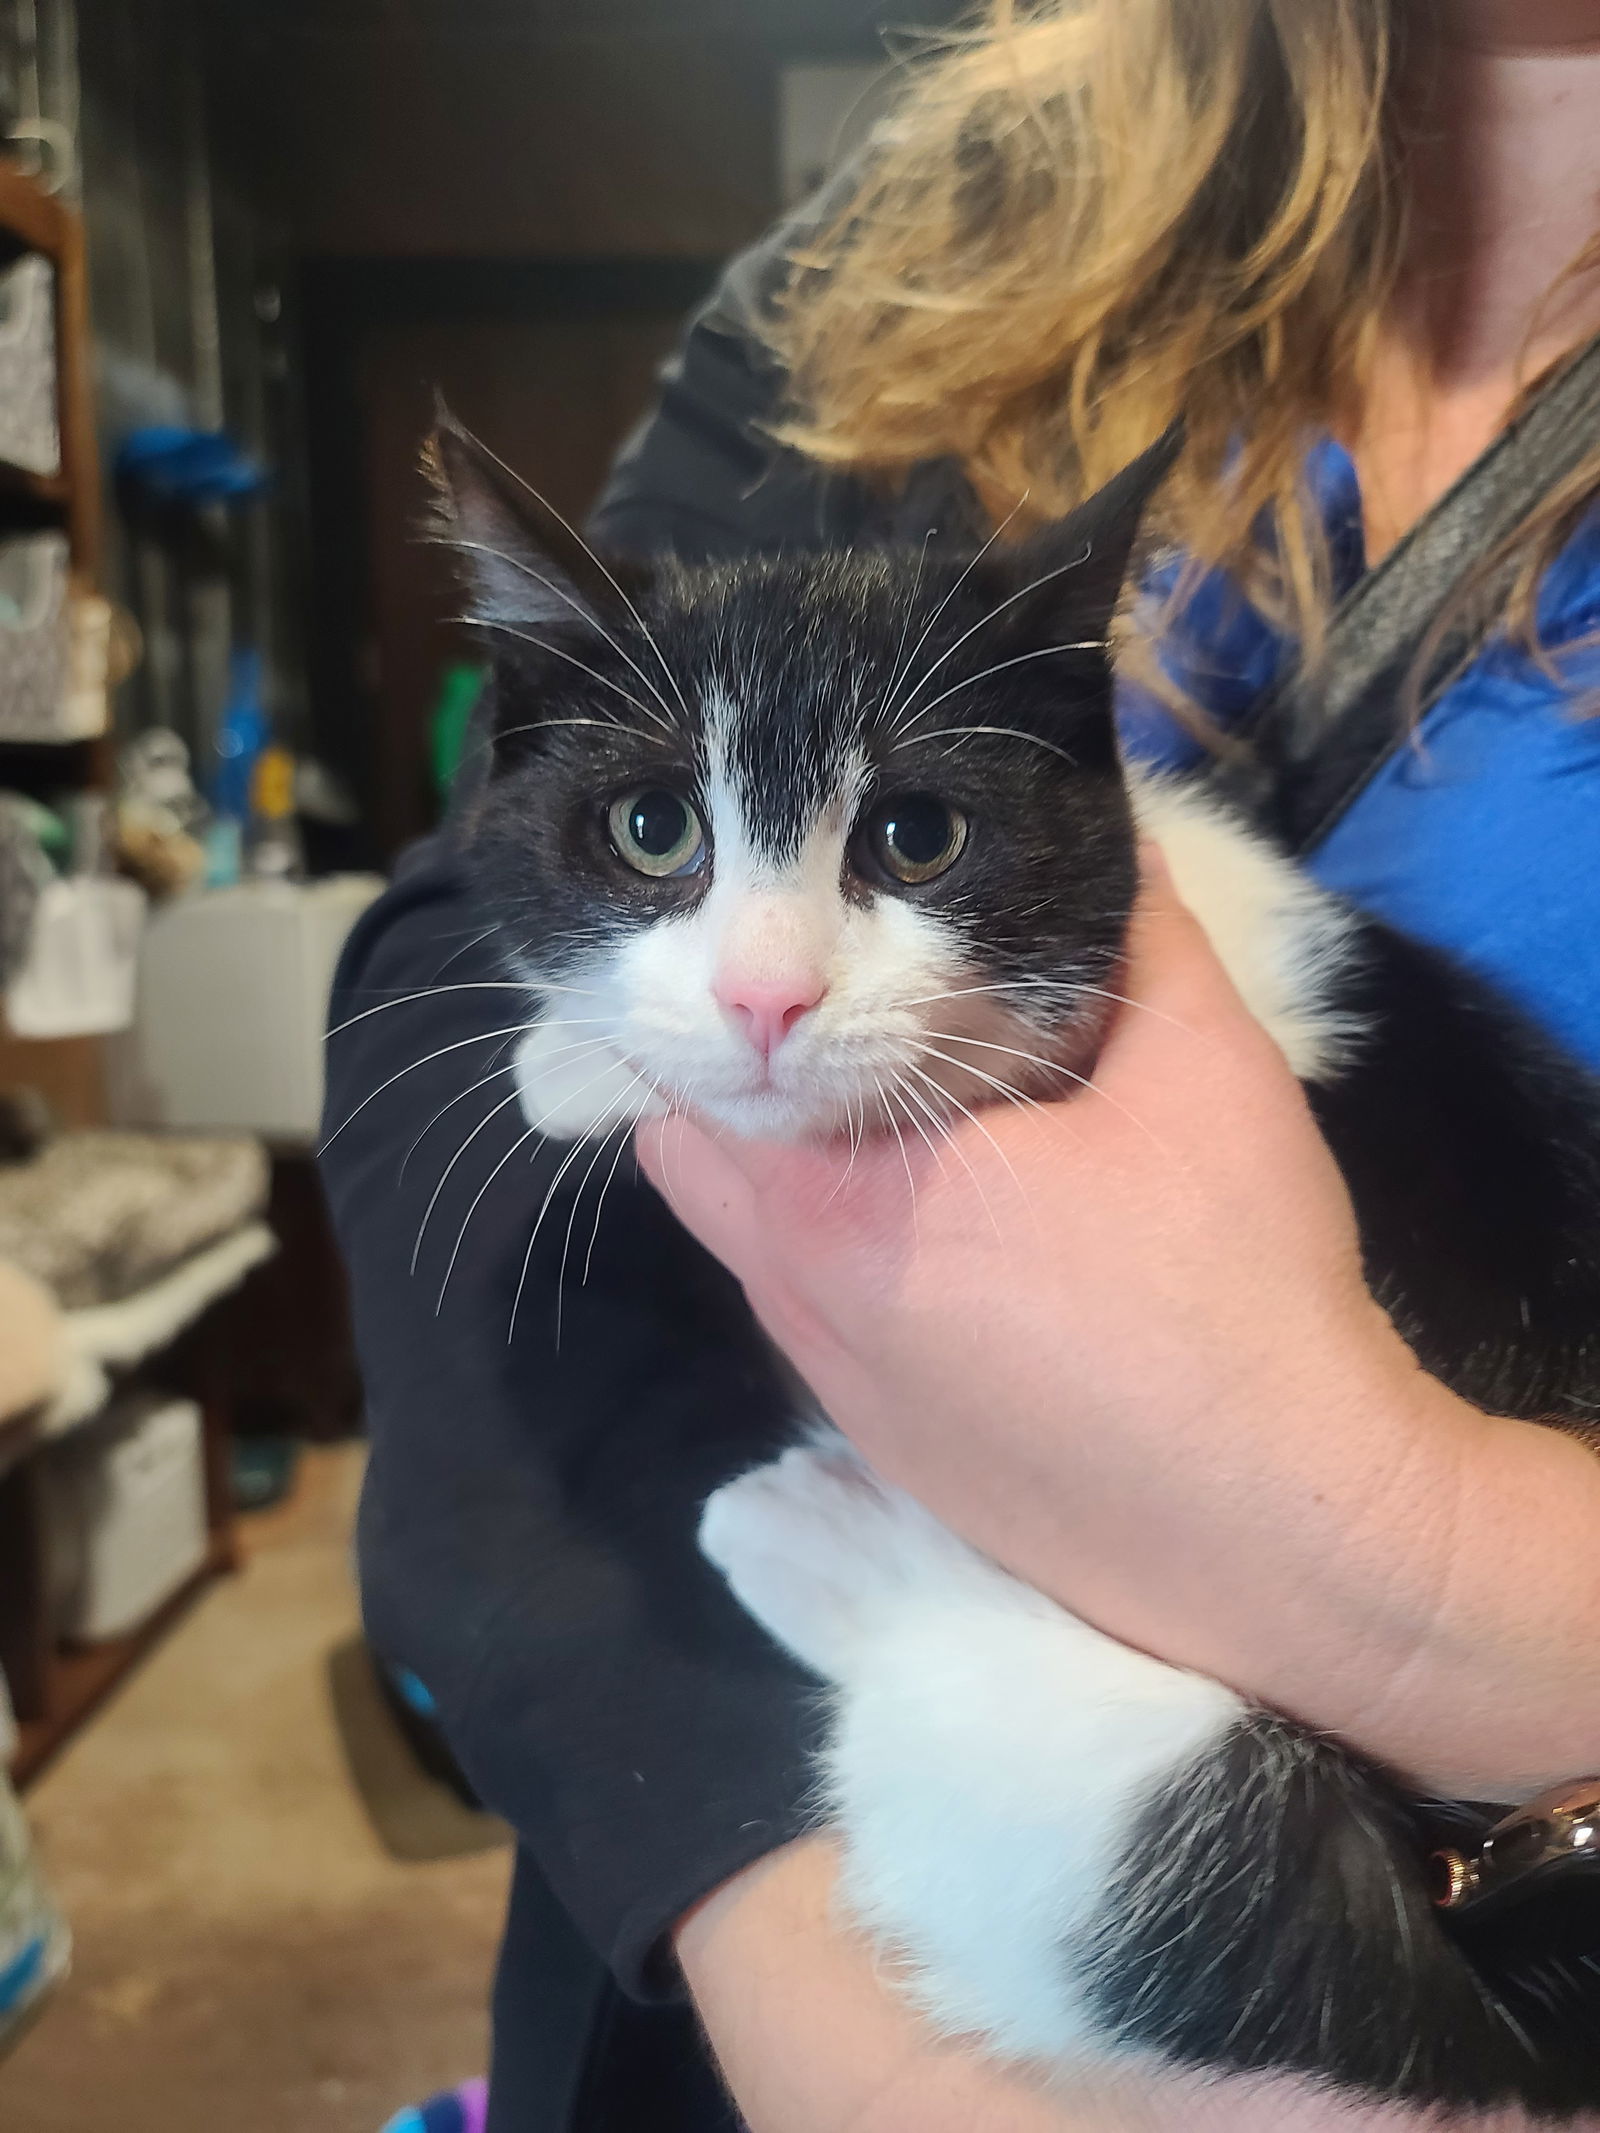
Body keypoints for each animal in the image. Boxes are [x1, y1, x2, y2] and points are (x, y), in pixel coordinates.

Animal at [433, 420, 1600, 2115]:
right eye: (653, 830)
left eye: (918, 837)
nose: (767, 997)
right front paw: (585, 1052)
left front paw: (582, 1070)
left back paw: (822, 1542)